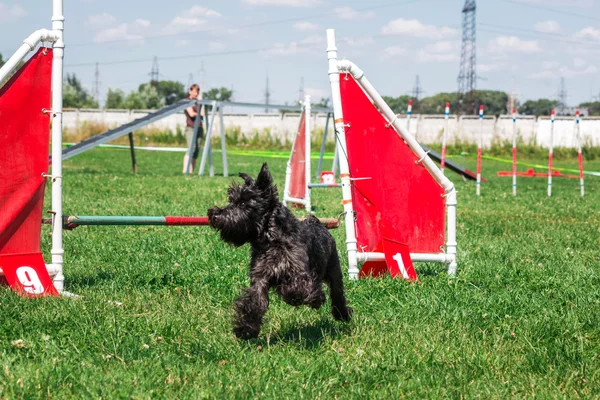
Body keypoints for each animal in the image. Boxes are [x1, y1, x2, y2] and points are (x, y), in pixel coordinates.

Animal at [210, 164, 354, 340]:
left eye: (243, 203)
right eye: (231, 200)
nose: (215, 214)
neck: (271, 241)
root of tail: (317, 222)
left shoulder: (300, 273)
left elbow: (297, 288)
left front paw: (308, 296)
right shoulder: (260, 277)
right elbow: (254, 302)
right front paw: (246, 329)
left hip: (334, 271)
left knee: (337, 293)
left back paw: (342, 314)